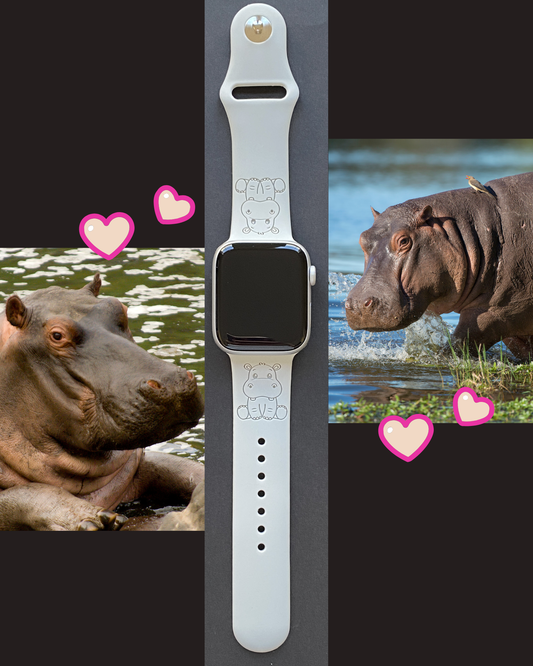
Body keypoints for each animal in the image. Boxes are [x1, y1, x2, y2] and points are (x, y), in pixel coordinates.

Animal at [0, 274, 204, 531]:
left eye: (121, 308)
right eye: (57, 335)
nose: (172, 382)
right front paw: (94, 519)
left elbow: (181, 469)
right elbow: (27, 492)